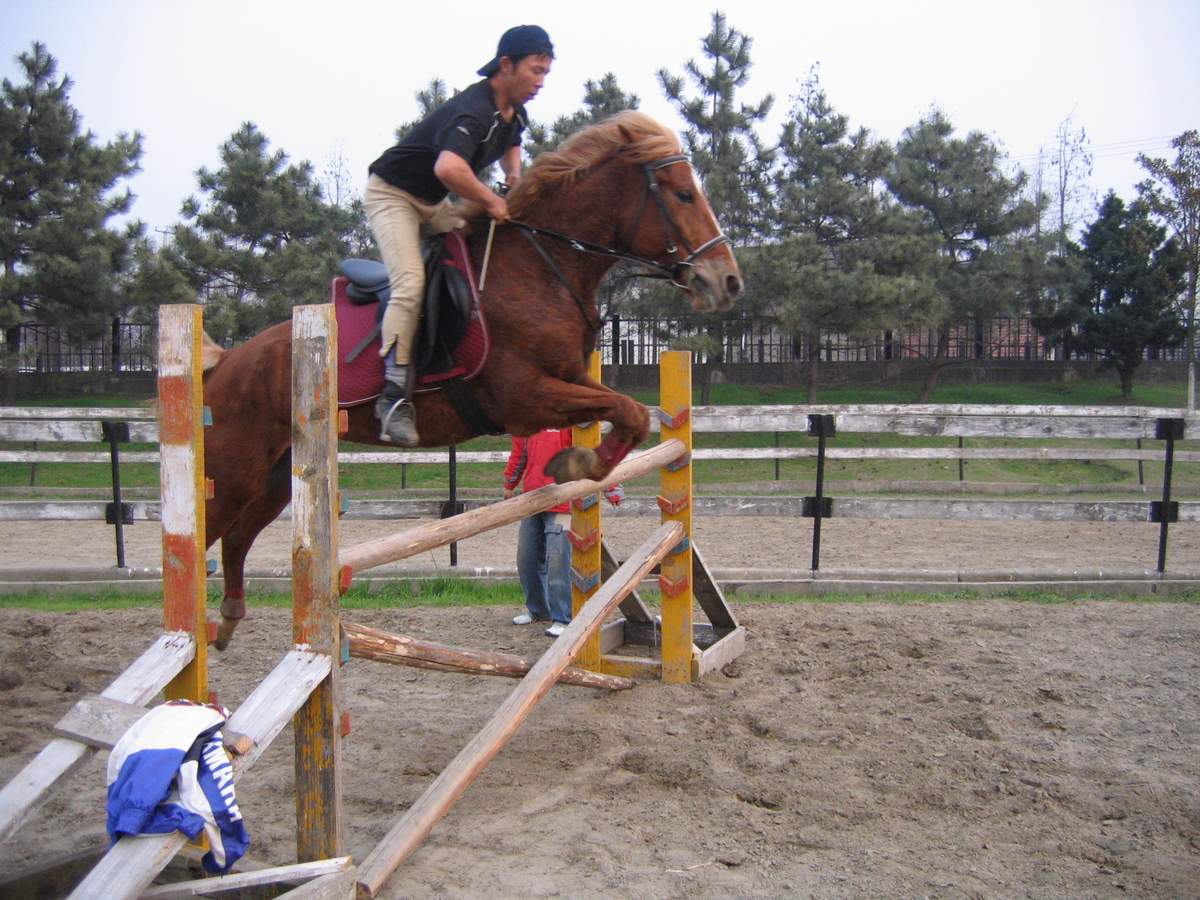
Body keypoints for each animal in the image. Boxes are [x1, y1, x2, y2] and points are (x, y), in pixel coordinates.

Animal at [200, 112, 739, 648]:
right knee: (207, 530)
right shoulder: (523, 399)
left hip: (276, 477)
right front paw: (577, 464)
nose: (729, 282)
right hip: (235, 472)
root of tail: (225, 364)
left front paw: (578, 464)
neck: (540, 269)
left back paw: (226, 621)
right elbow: (627, 411)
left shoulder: (570, 380)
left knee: (238, 537)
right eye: (683, 194)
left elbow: (631, 412)